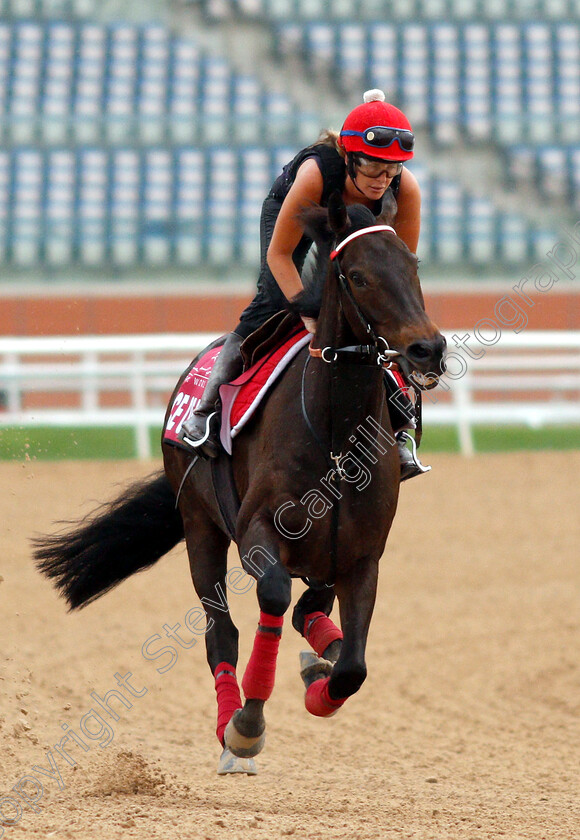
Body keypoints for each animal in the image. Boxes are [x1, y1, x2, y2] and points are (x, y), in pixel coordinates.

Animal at [34, 192, 446, 776]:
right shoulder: (257, 532)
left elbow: (353, 666)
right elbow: (270, 596)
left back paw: (317, 650)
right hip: (200, 527)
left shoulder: (363, 553)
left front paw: (321, 678)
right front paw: (247, 726)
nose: (428, 350)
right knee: (222, 633)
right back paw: (232, 725)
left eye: (413, 266)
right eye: (359, 276)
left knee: (309, 612)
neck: (334, 432)